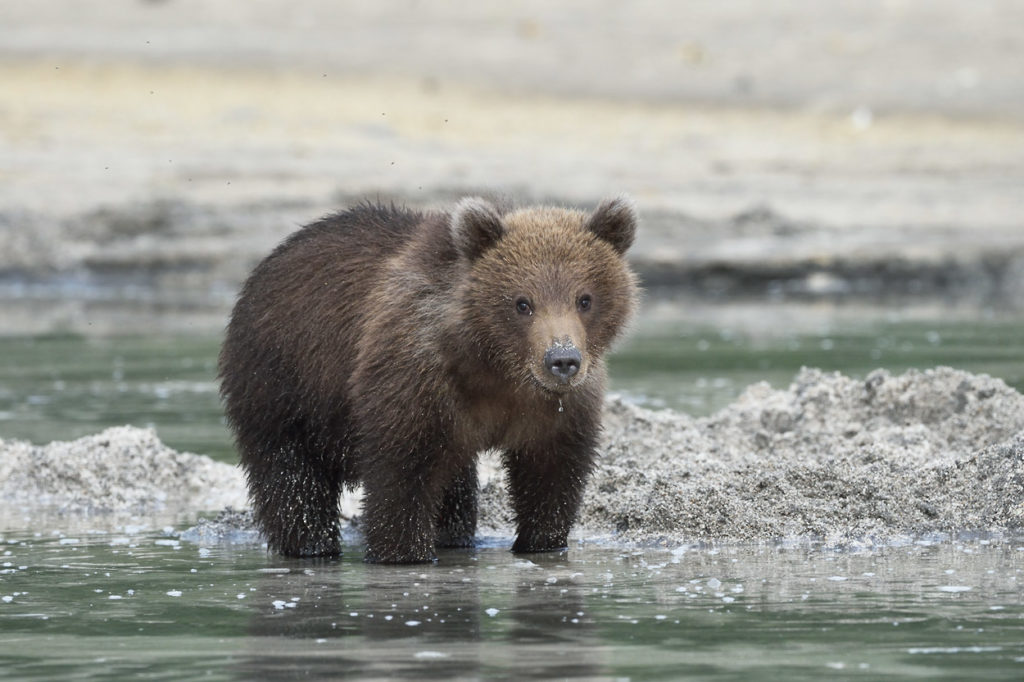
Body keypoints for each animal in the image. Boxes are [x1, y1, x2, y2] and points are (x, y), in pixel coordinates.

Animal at [218, 193, 638, 561]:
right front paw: (404, 552)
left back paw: (453, 536)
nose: (562, 359)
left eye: (584, 299)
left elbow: (550, 476)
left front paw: (541, 542)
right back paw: (310, 545)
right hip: (283, 379)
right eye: (522, 303)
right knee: (292, 477)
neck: (493, 366)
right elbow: (401, 478)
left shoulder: (556, 407)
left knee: (456, 485)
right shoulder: (413, 377)